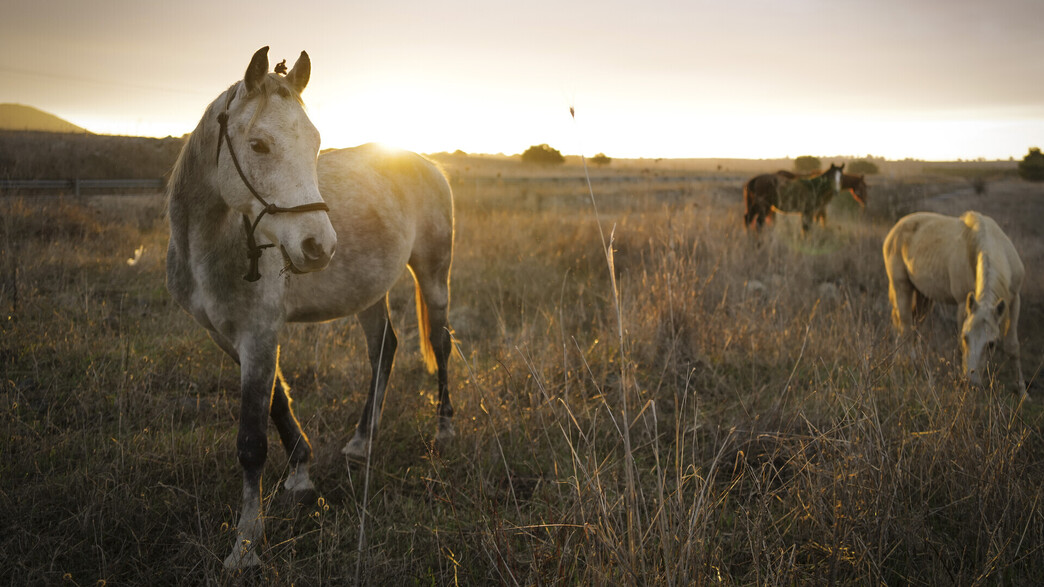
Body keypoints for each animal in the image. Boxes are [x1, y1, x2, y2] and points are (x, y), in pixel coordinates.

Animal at [165, 45, 453, 568]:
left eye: (316, 143)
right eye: (259, 145)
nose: (319, 245)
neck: (211, 245)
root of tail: (427, 163)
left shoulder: (259, 335)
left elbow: (251, 442)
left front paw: (246, 544)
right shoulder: (230, 336)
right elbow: (278, 401)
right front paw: (300, 475)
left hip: (434, 275)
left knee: (440, 344)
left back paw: (444, 431)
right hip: (368, 291)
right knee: (384, 348)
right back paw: (361, 441)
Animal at [881, 208, 1027, 392]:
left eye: (991, 344)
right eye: (966, 337)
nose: (971, 383)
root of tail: (895, 229)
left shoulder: (1014, 300)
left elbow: (1012, 347)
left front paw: (1023, 392)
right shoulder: (963, 304)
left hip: (924, 296)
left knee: (915, 325)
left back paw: (915, 363)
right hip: (901, 287)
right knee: (905, 327)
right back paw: (905, 366)